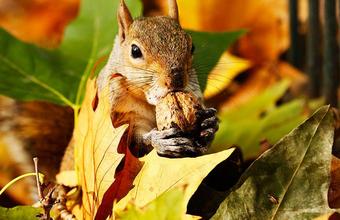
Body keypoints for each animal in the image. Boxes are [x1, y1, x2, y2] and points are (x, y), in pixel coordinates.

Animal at [0, 0, 219, 191]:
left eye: (191, 46)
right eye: (135, 51)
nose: (176, 79)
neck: (150, 103)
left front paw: (209, 124)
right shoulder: (116, 117)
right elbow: (129, 146)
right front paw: (159, 139)